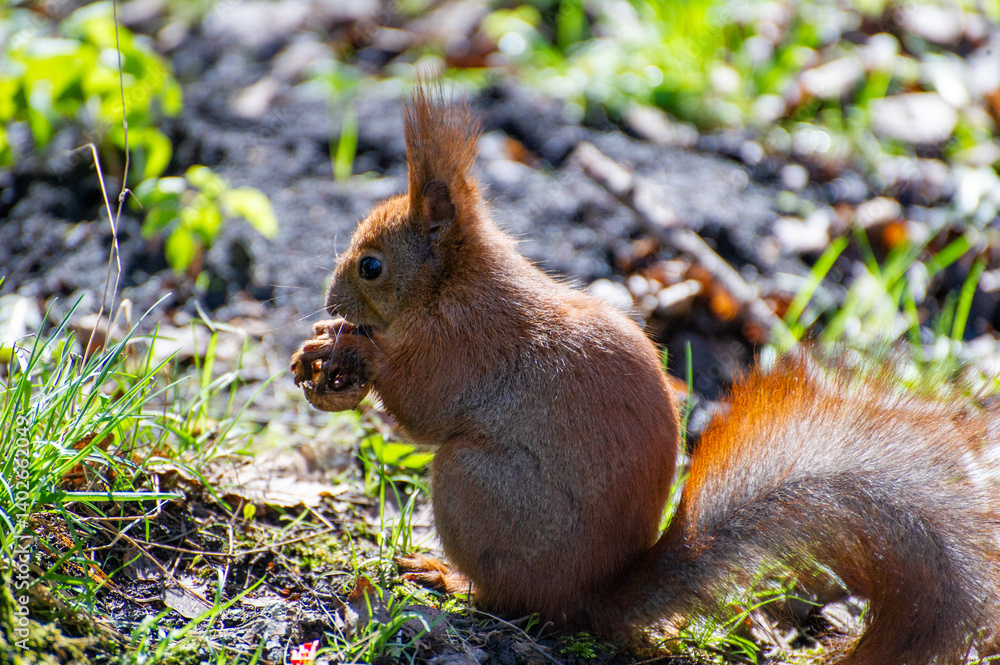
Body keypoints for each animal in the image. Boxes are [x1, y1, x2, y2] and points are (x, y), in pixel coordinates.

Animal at [290, 88, 1000, 664]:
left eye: (371, 266)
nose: (330, 303)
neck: (453, 287)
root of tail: (589, 594)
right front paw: (322, 345)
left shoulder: (463, 347)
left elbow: (422, 409)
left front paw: (355, 354)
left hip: (474, 487)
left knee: (510, 597)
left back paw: (450, 579)